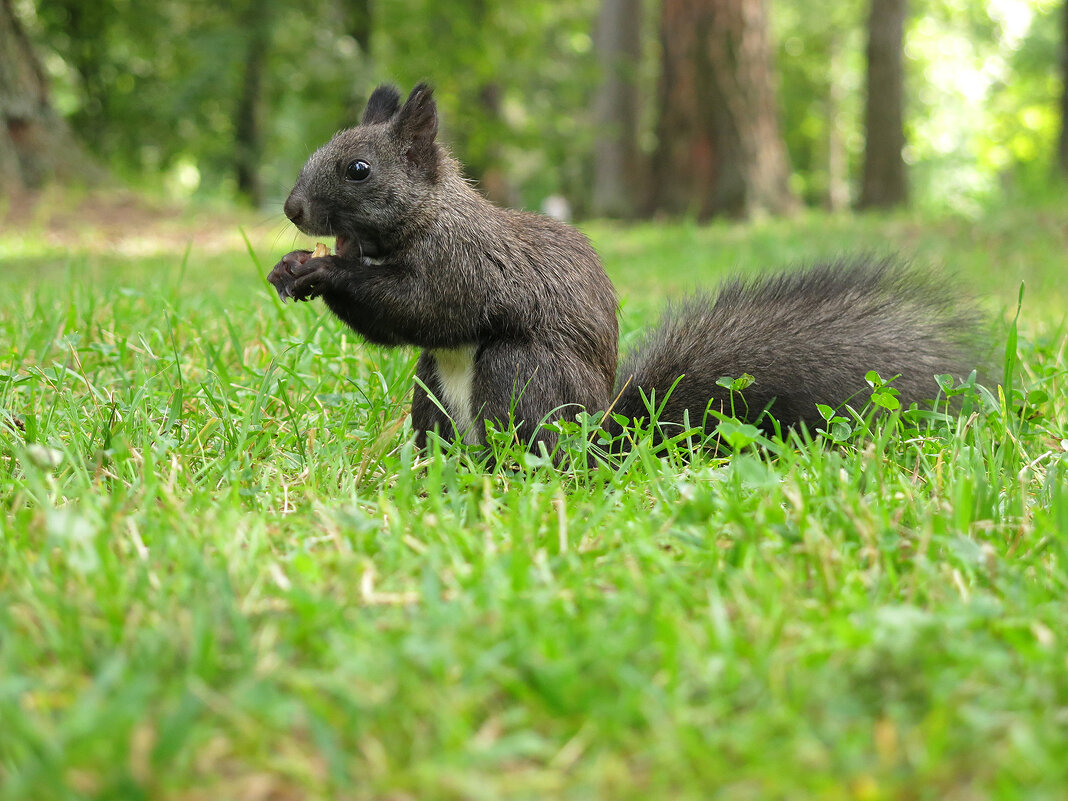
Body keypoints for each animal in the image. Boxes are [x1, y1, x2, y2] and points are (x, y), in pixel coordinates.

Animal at [269, 83, 982, 457]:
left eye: (359, 170)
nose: (292, 208)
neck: (424, 219)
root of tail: (602, 438)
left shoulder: (466, 266)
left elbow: (421, 308)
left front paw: (323, 275)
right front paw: (289, 268)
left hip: (522, 376)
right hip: (432, 393)